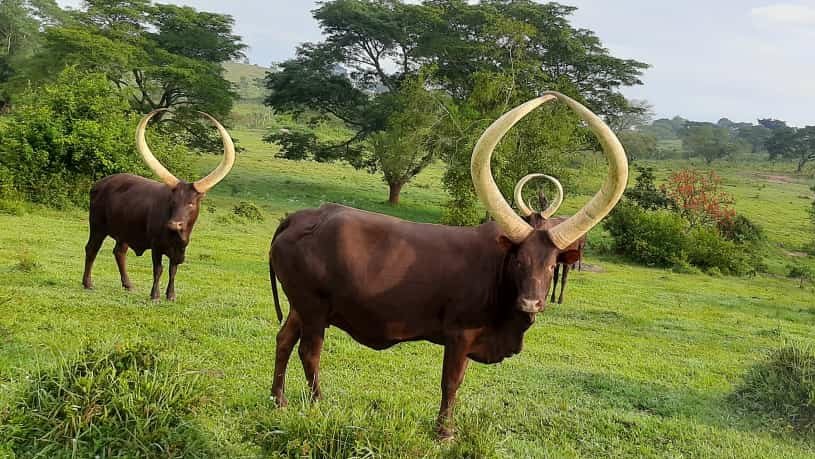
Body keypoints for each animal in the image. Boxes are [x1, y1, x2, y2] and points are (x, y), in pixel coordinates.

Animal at [82, 110, 235, 301]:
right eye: (172, 201)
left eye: (191, 203)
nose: (174, 224)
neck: (176, 236)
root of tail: (99, 184)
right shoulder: (156, 246)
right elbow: (158, 269)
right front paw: (154, 295)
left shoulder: (179, 250)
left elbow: (173, 271)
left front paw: (171, 295)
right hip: (97, 227)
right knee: (92, 249)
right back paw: (88, 283)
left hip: (124, 232)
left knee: (119, 252)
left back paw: (128, 285)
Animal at [515, 173, 588, 304]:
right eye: (529, 224)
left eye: (543, 225)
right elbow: (554, 277)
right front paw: (551, 297)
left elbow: (562, 278)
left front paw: (559, 299)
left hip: (576, 251)